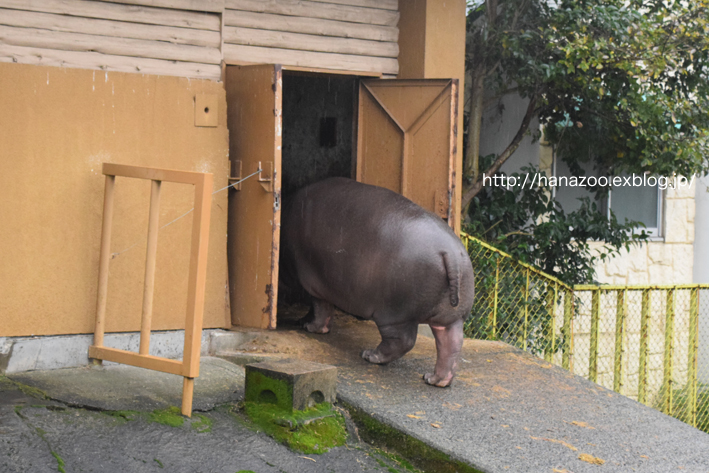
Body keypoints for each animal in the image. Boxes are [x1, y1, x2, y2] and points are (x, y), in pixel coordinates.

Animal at [280, 175, 472, 386]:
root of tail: (451, 253)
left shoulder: (312, 283)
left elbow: (319, 308)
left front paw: (310, 327)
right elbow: (319, 309)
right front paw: (304, 322)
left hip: (394, 314)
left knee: (402, 341)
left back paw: (370, 355)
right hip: (450, 318)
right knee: (451, 345)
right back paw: (434, 380)